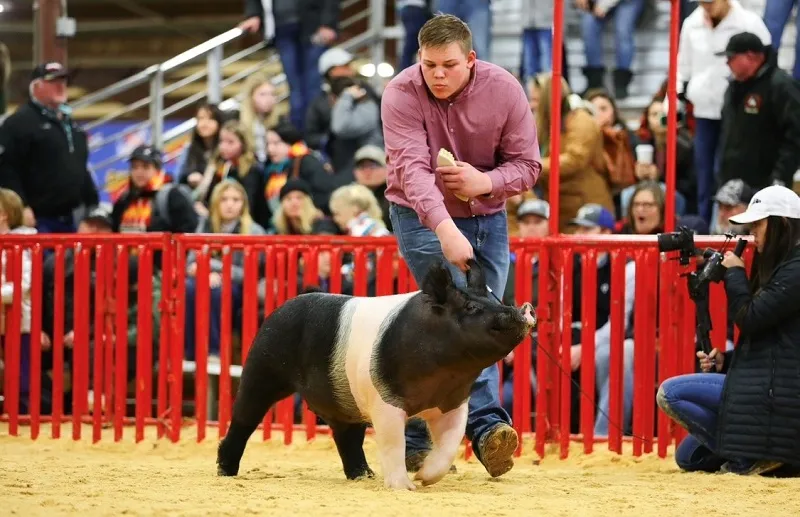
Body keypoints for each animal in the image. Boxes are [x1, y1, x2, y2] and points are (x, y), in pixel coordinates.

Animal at [216, 258, 536, 490]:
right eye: (471, 306)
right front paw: (406, 487)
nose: (523, 309)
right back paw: (225, 471)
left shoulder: (454, 403)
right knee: (244, 419)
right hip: (262, 368)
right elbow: (394, 443)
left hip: (345, 401)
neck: (442, 377)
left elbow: (448, 445)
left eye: (494, 300)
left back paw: (363, 475)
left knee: (346, 436)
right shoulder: (385, 402)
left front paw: (424, 478)